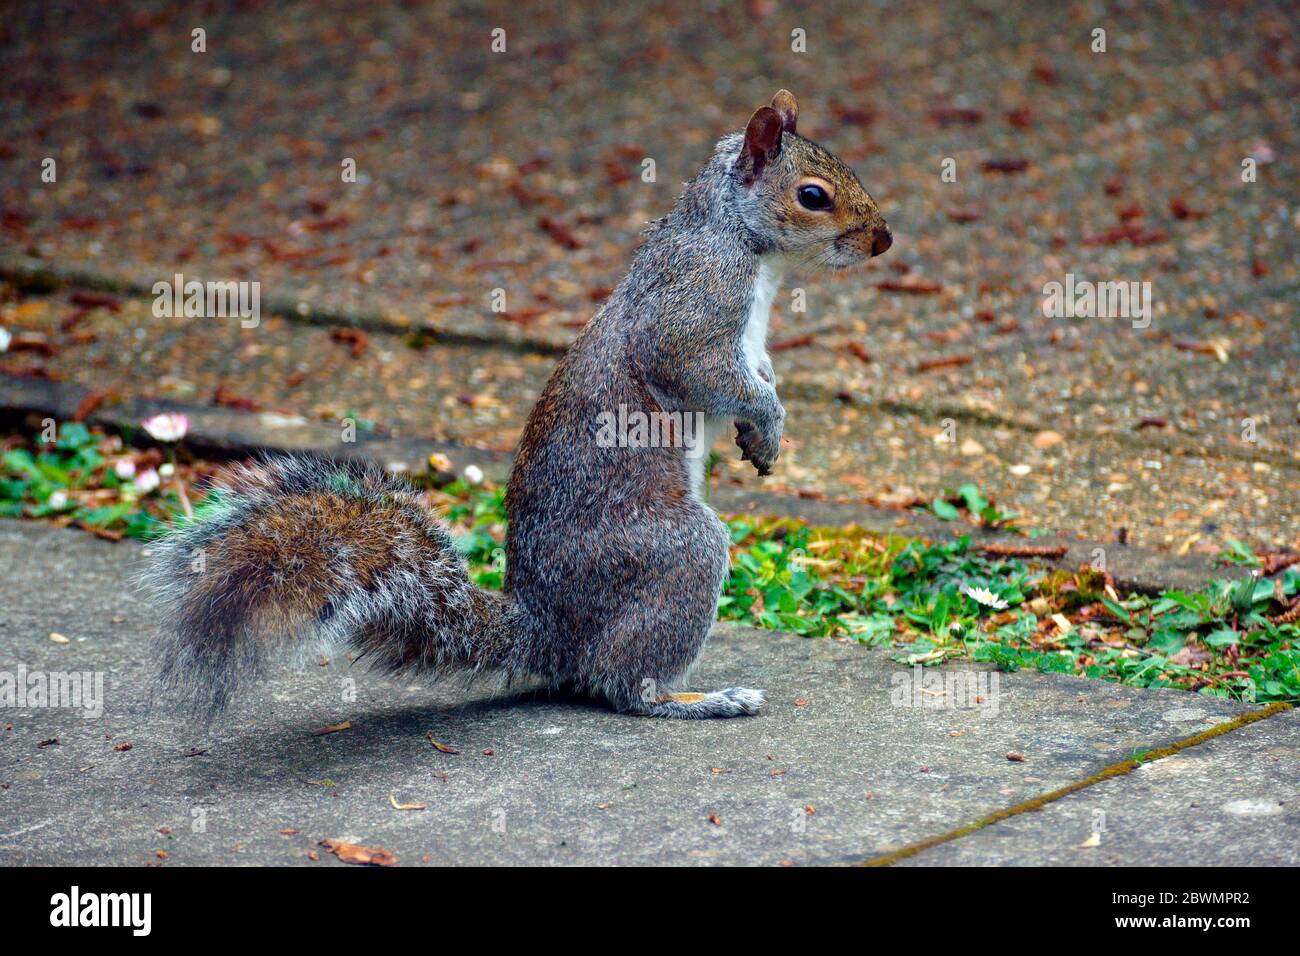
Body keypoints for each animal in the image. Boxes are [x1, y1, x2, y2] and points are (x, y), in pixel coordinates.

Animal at [144, 93, 894, 723]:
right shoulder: (695, 301)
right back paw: (697, 699)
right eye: (813, 196)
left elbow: (758, 374)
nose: (882, 240)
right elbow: (696, 368)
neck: (740, 240)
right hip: (673, 554)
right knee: (619, 683)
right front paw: (767, 419)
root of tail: (545, 633)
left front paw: (762, 428)